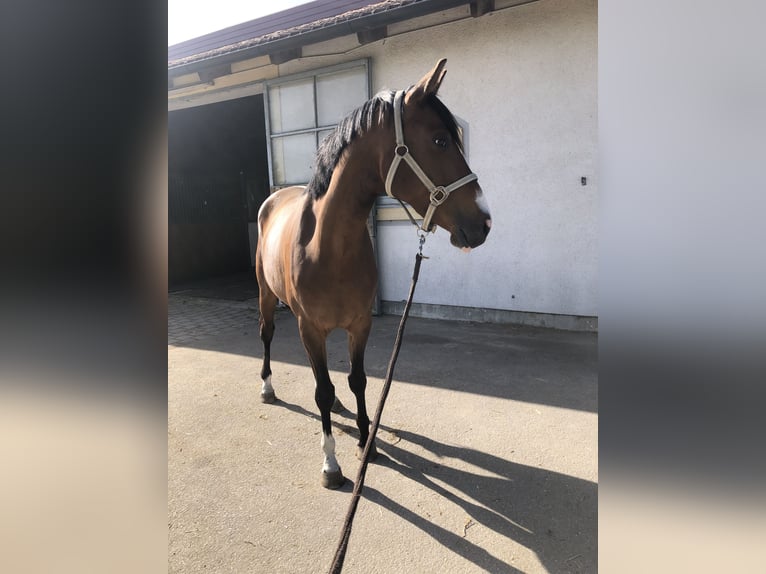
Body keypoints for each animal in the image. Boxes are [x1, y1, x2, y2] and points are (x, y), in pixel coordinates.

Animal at [255, 59, 488, 490]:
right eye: (440, 141)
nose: (484, 223)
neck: (327, 247)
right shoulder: (310, 326)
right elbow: (321, 391)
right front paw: (331, 464)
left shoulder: (360, 324)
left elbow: (356, 380)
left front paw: (368, 443)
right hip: (267, 295)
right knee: (268, 335)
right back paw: (267, 387)